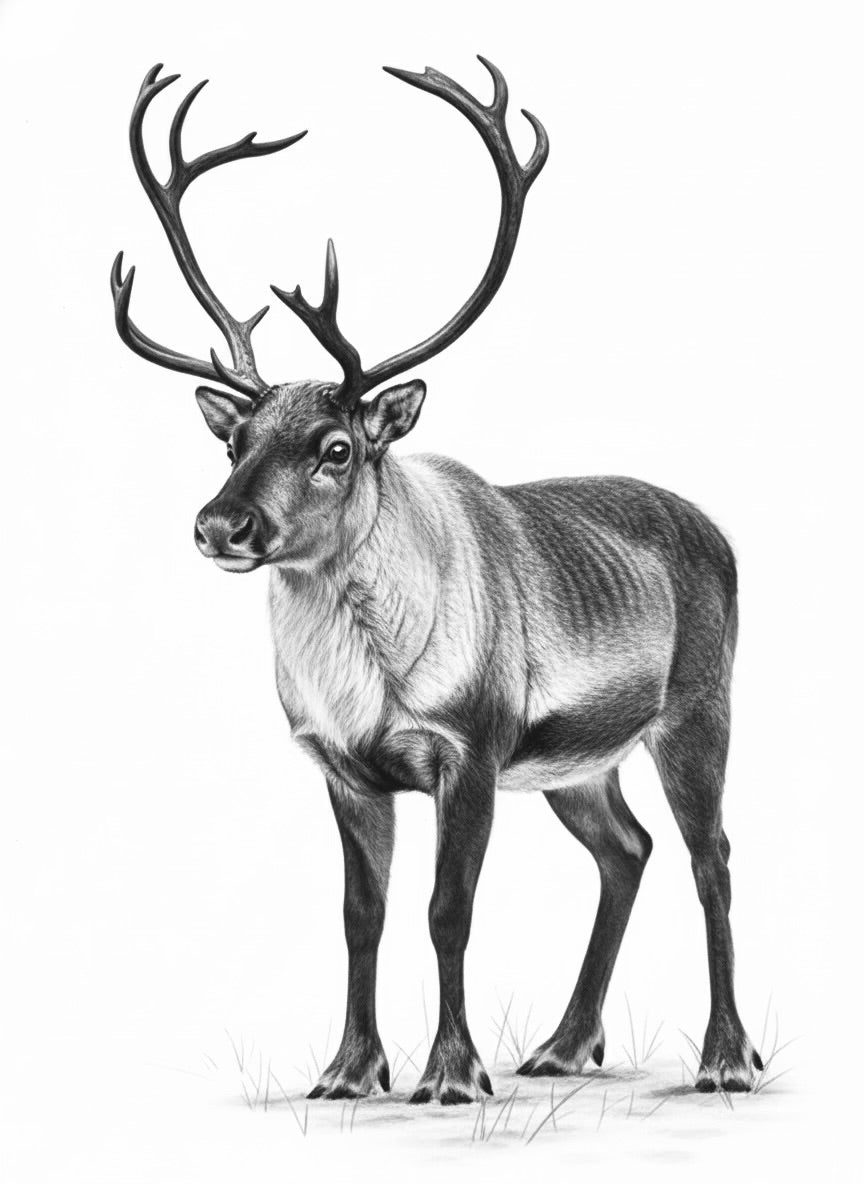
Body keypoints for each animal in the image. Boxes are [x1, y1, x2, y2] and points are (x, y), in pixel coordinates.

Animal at [111, 58, 762, 1105]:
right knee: (628, 851)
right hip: (578, 763)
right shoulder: (340, 768)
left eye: (336, 447)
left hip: (698, 710)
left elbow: (447, 908)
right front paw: (348, 1071)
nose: (219, 525)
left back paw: (725, 1058)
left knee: (713, 859)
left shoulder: (473, 747)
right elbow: (360, 916)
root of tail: (718, 533)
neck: (367, 686)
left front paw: (452, 1074)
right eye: (233, 439)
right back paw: (562, 1046)